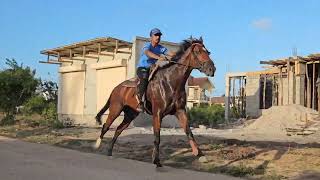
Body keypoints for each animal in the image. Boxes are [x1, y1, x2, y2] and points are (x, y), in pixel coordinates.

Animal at [94, 37, 216, 167]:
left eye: (208, 52)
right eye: (197, 51)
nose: (212, 69)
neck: (171, 82)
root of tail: (116, 88)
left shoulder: (180, 111)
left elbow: (189, 132)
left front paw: (200, 155)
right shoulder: (157, 113)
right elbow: (157, 137)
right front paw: (156, 160)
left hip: (130, 114)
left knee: (118, 130)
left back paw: (109, 152)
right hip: (115, 109)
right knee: (106, 126)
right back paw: (97, 145)